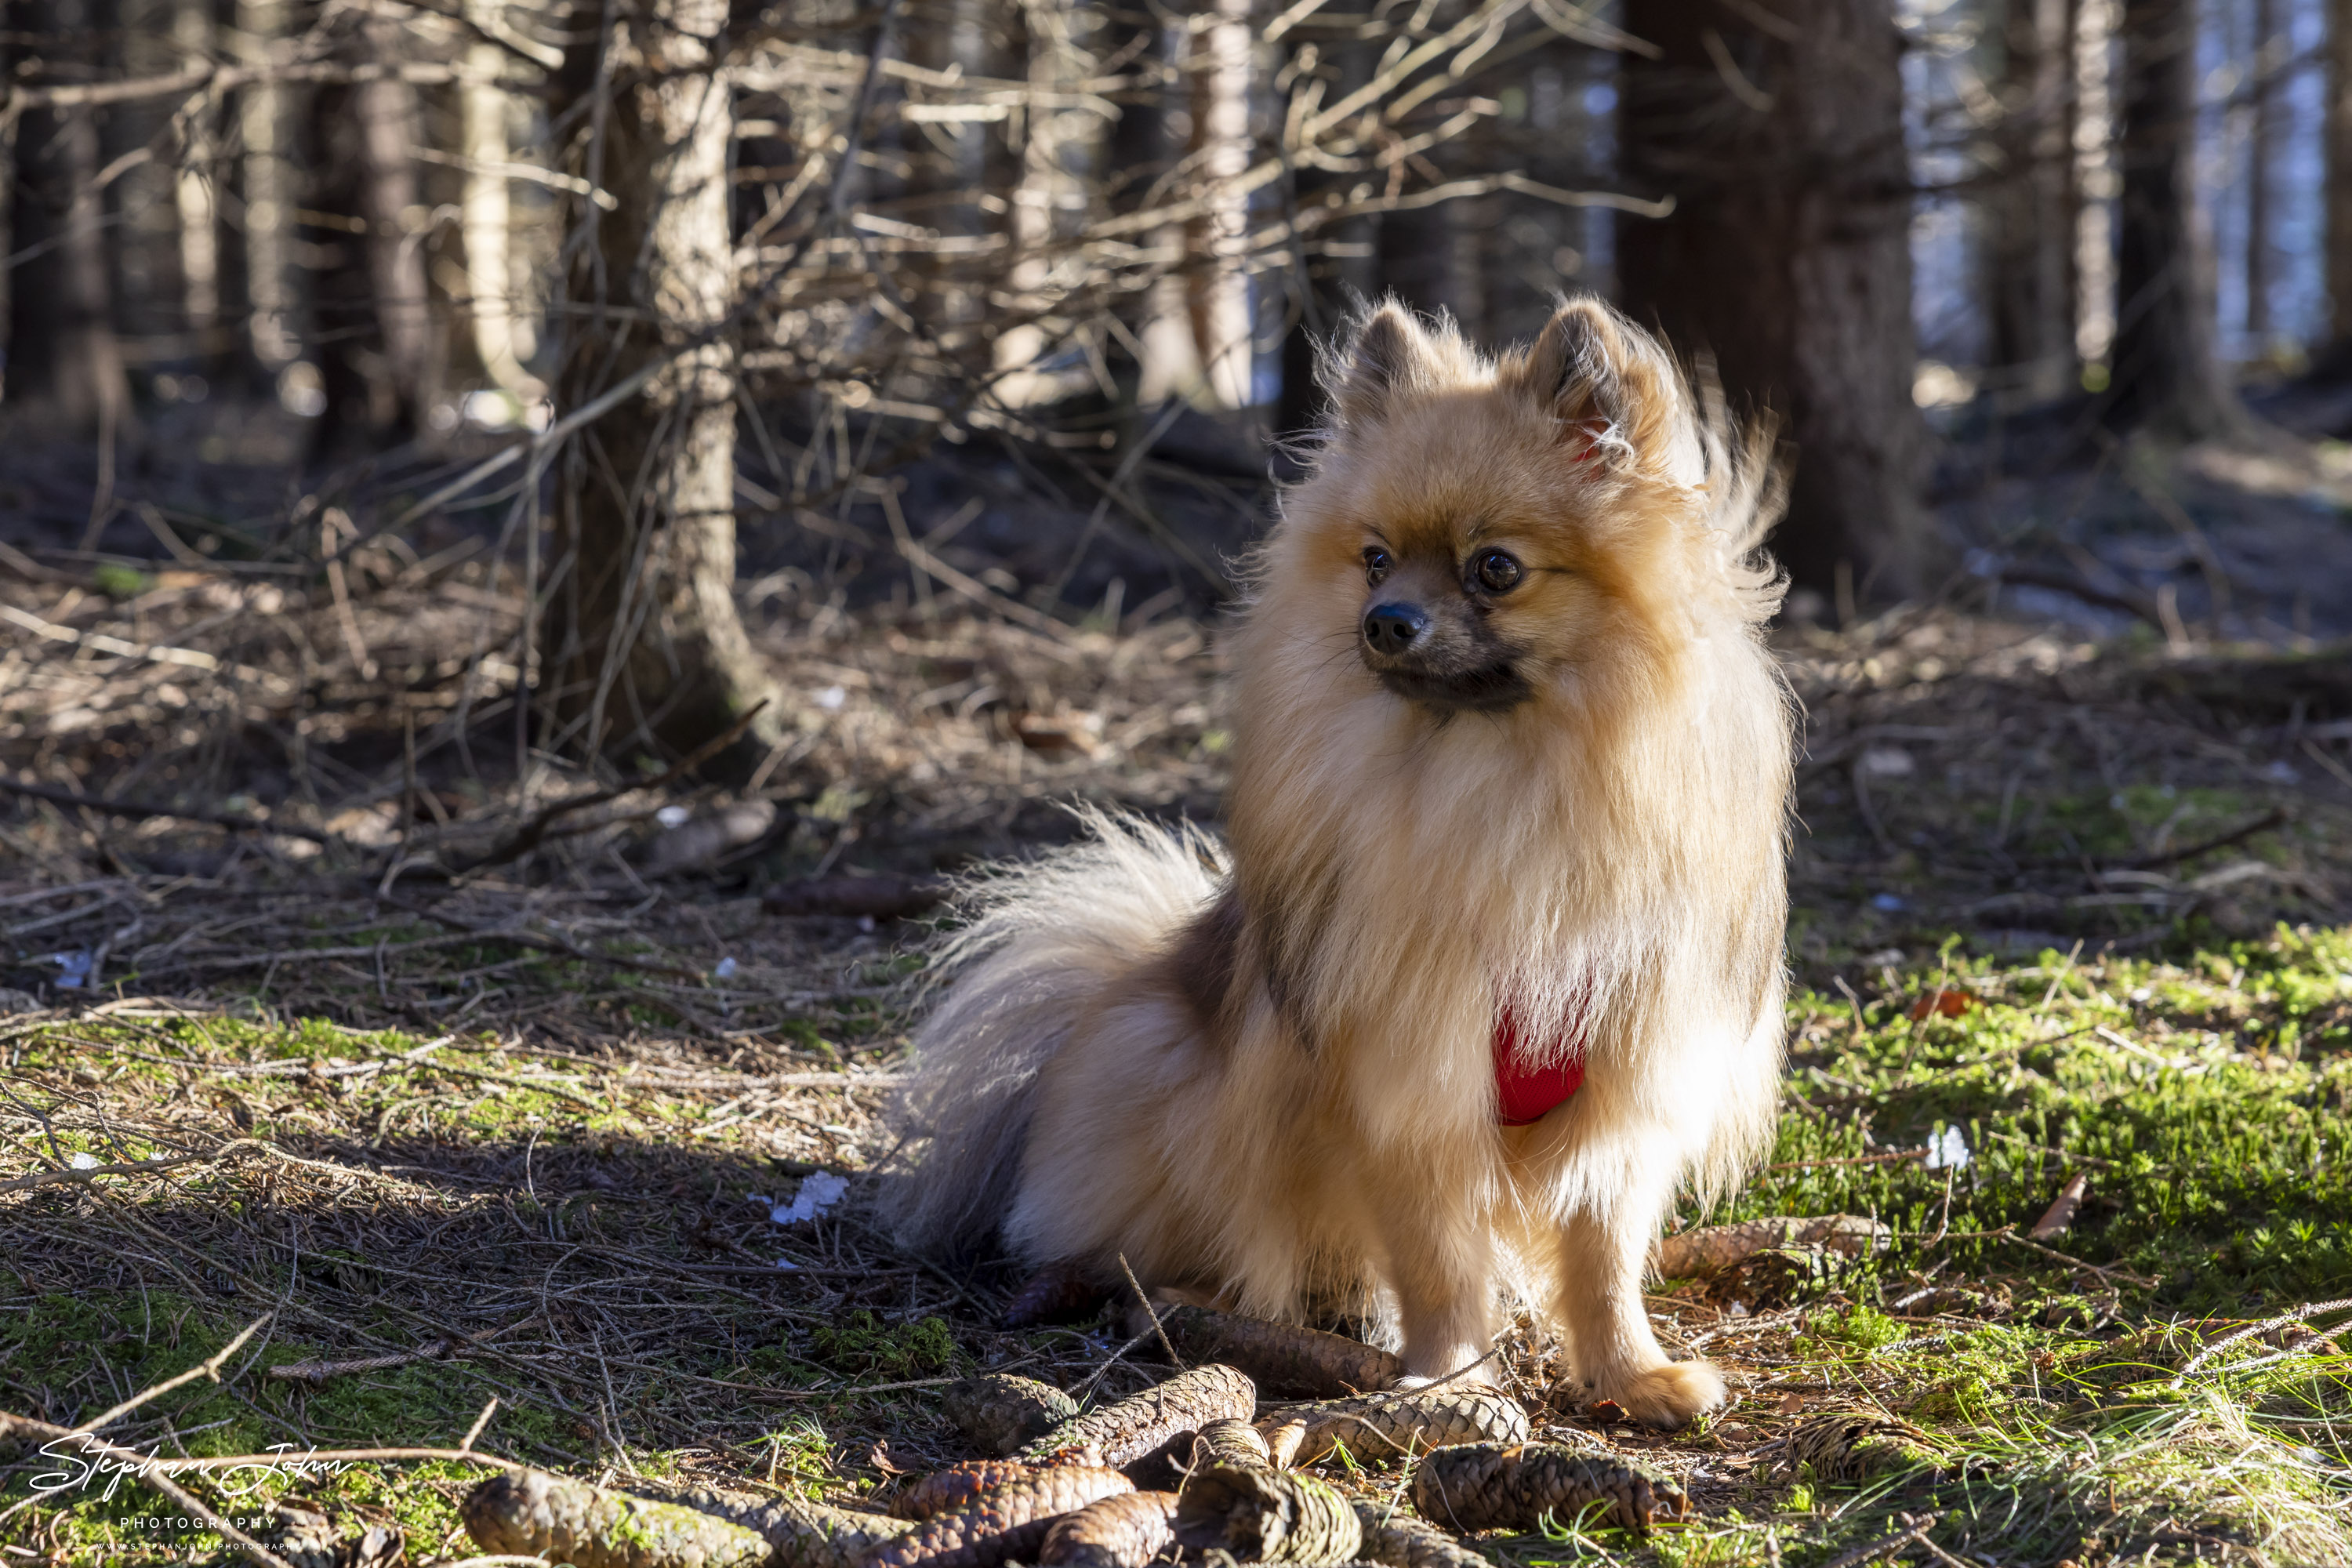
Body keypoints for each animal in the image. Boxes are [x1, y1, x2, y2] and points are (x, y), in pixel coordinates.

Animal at [889, 297, 1788, 1439]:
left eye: (1496, 568)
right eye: (1373, 560)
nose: (1385, 621)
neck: (1505, 782)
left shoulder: (1626, 1066)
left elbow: (1603, 1251)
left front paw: (1631, 1374)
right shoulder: (1407, 1076)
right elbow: (1439, 1259)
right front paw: (1453, 1385)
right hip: (1169, 1069)